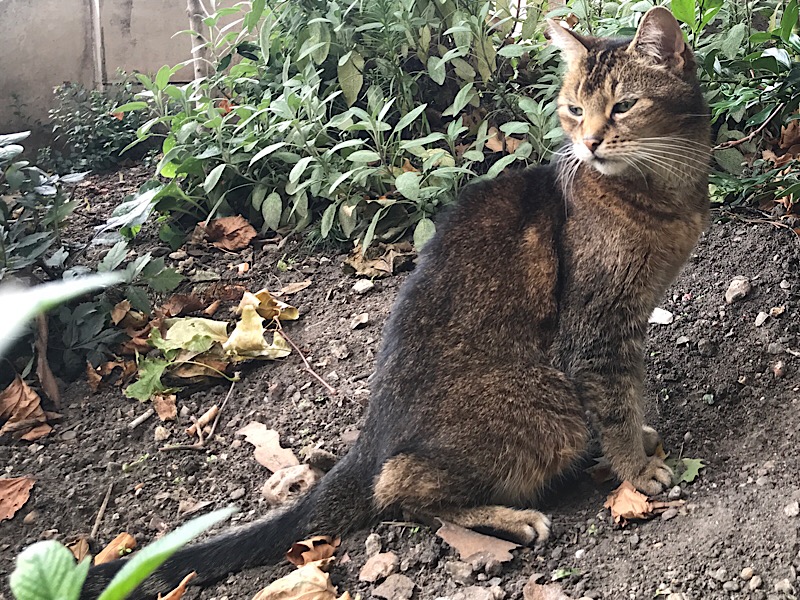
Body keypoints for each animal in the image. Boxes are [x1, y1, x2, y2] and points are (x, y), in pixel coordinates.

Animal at [79, 8, 708, 596]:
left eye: (623, 106)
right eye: (576, 109)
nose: (591, 142)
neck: (662, 194)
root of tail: (367, 442)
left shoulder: (628, 323)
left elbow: (629, 393)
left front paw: (639, 441)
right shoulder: (597, 328)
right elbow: (614, 402)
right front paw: (636, 471)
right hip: (548, 412)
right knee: (399, 489)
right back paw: (511, 517)